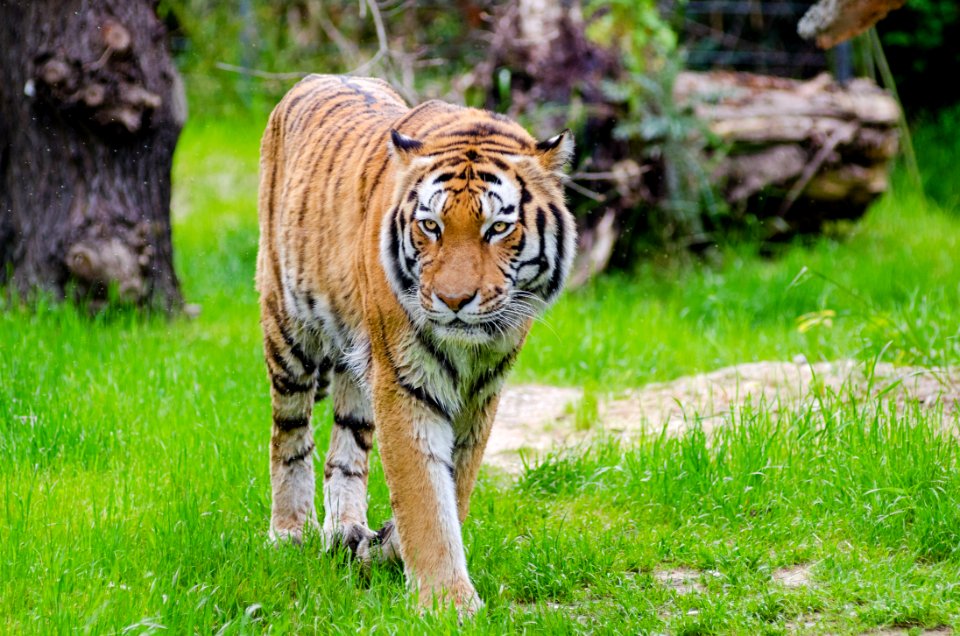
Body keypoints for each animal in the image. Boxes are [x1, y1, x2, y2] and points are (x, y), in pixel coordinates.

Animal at [255, 72, 572, 612]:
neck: (470, 348)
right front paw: (449, 605)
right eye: (431, 226)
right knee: (289, 434)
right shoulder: (405, 383)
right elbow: (424, 494)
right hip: (288, 330)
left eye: (498, 228)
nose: (454, 299)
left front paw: (385, 548)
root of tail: (316, 77)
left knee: (346, 450)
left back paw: (345, 531)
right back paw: (290, 533)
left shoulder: (481, 393)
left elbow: (453, 487)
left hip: (357, 366)